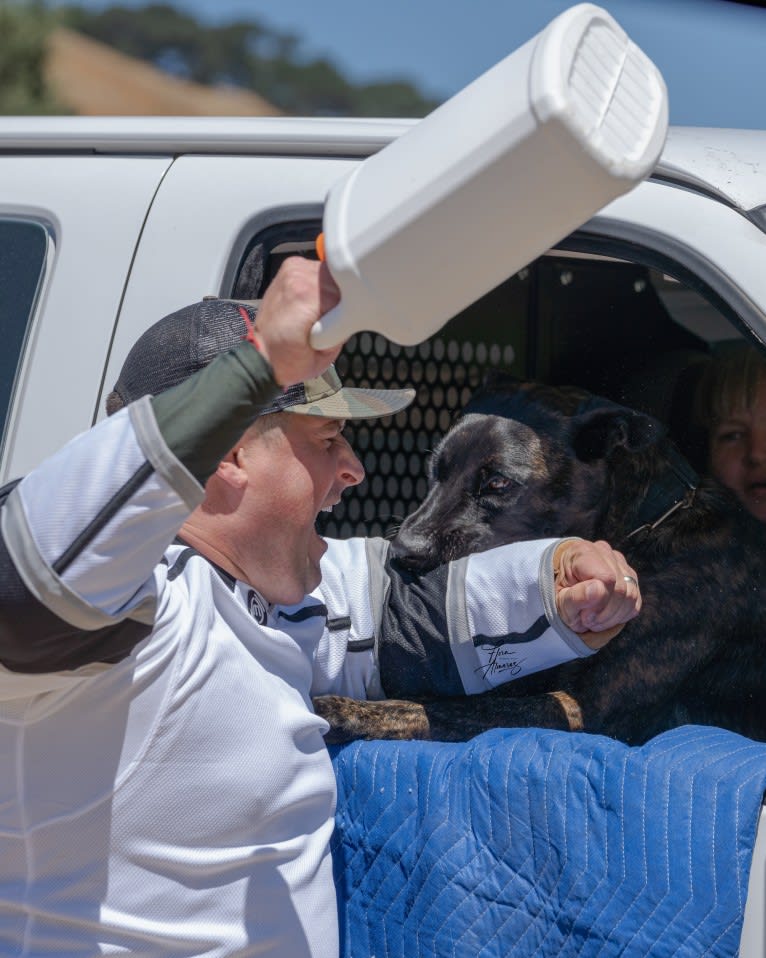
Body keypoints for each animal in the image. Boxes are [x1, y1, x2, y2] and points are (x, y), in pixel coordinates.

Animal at [314, 372, 766, 748]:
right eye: (434, 471)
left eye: (498, 482)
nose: (403, 552)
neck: (645, 527)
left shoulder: (586, 710)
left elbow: (448, 708)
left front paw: (338, 709)